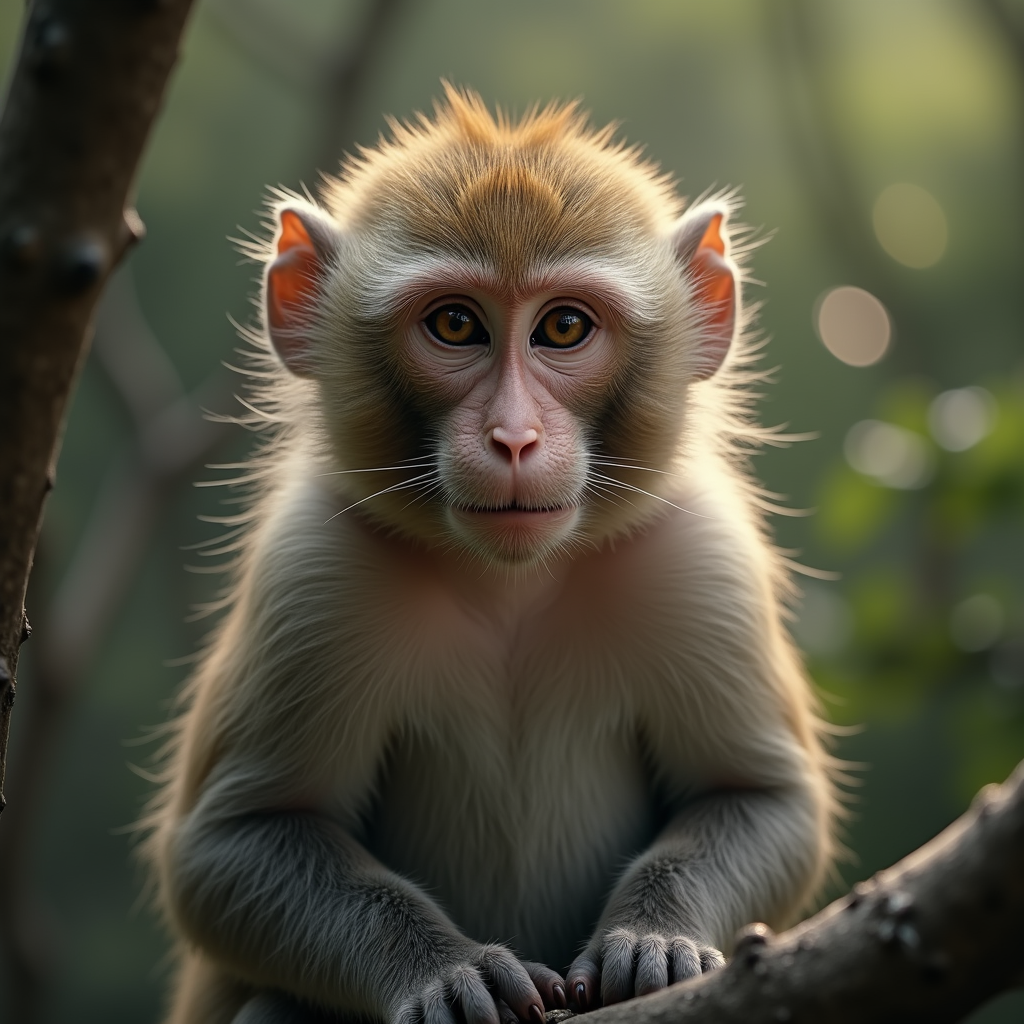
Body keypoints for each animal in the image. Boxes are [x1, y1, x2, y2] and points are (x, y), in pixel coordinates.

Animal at [146, 86, 837, 1024]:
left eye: (565, 327)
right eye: (455, 324)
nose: (513, 438)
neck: (510, 584)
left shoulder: (699, 558)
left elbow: (760, 797)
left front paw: (652, 936)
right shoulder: (313, 570)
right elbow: (232, 842)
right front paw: (445, 969)